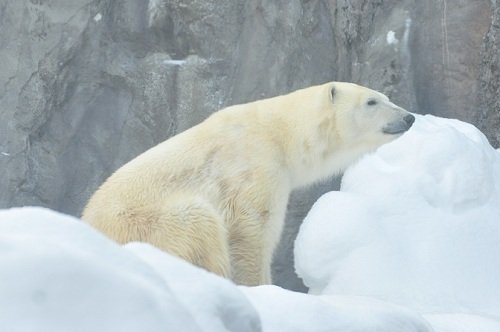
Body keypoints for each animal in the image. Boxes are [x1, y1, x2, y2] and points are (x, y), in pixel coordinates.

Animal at [80, 82, 412, 286]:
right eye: (372, 100)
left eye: (385, 97)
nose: (408, 117)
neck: (279, 133)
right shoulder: (254, 165)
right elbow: (251, 228)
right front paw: (260, 287)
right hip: (143, 223)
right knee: (198, 221)